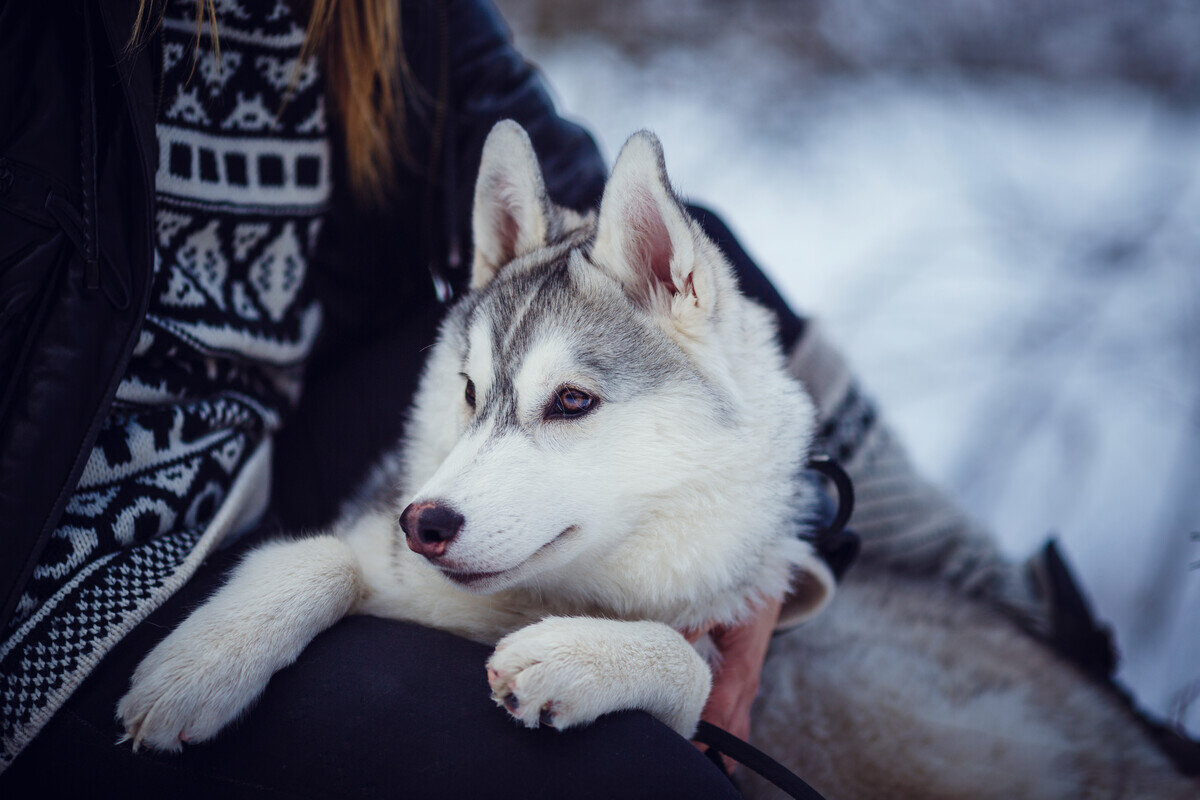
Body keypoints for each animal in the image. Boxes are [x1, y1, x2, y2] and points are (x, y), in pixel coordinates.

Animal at [117, 122, 1195, 796]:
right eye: (469, 392)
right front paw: (202, 661)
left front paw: (587, 655)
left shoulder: (729, 703)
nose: (426, 523)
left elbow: (686, 666)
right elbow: (314, 554)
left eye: (571, 402)